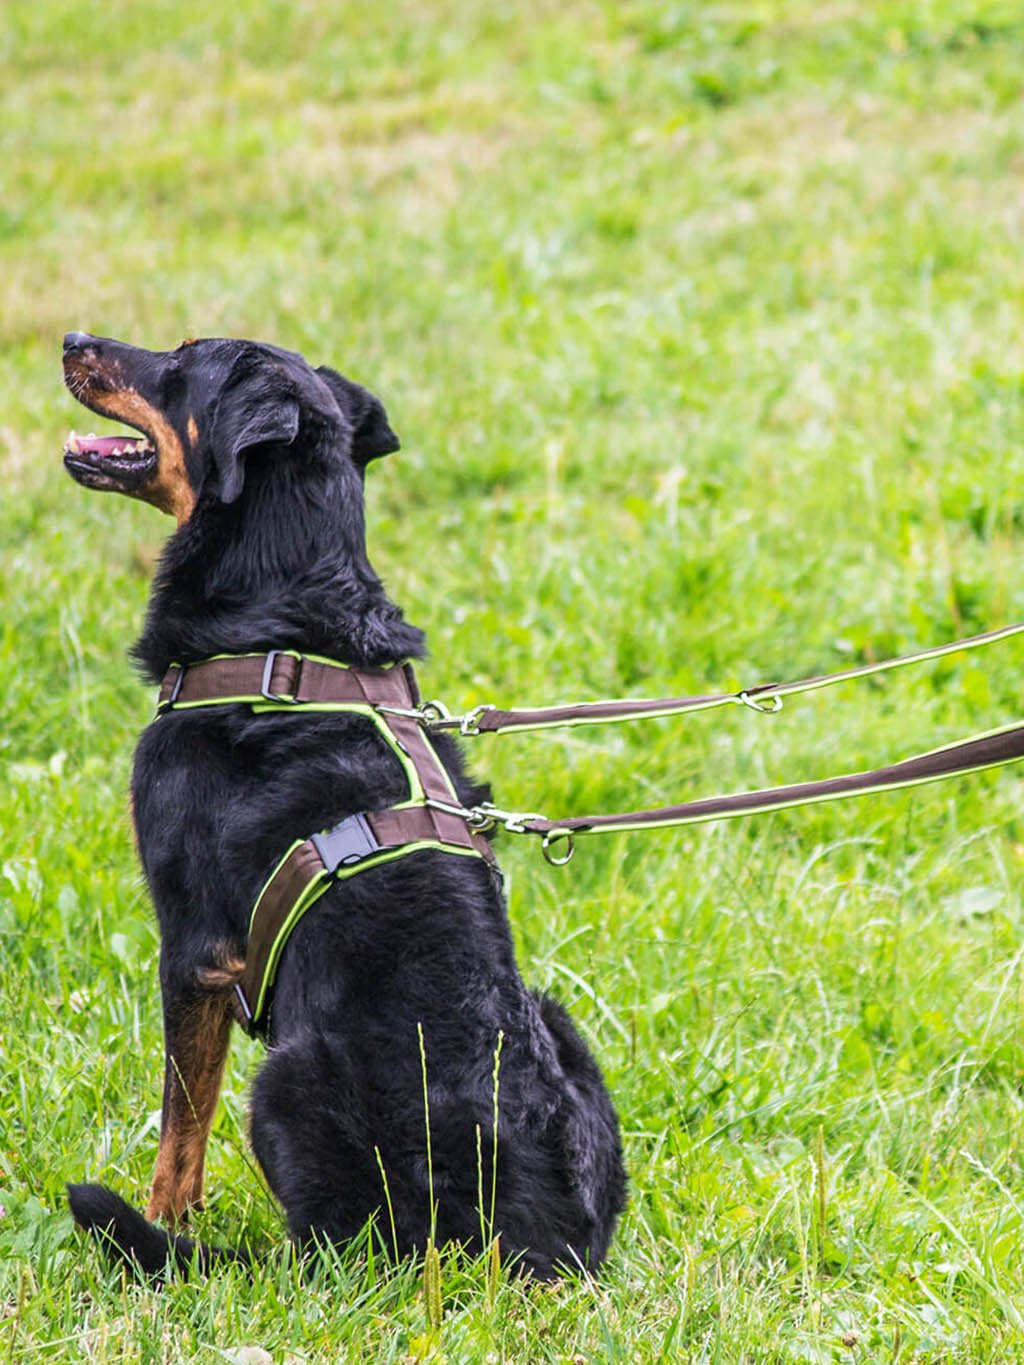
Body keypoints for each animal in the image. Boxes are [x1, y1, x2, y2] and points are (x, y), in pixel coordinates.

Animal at [64, 330, 630, 1277]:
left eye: (180, 359)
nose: (73, 342)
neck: (285, 631)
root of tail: (534, 1248)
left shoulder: (191, 944)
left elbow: (182, 1127)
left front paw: (165, 1222)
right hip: (559, 1020)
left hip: (284, 1087)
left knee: (322, 1247)